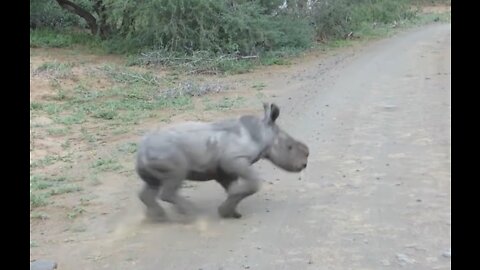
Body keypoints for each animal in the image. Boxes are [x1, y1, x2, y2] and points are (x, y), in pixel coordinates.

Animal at [136, 102, 308, 220]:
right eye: (290, 147)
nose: (304, 163)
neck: (262, 133)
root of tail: (141, 150)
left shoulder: (223, 170)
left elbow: (234, 187)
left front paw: (231, 212)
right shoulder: (233, 159)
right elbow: (253, 183)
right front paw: (230, 206)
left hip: (153, 157)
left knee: (152, 184)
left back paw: (158, 217)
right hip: (166, 152)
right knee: (177, 174)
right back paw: (191, 213)